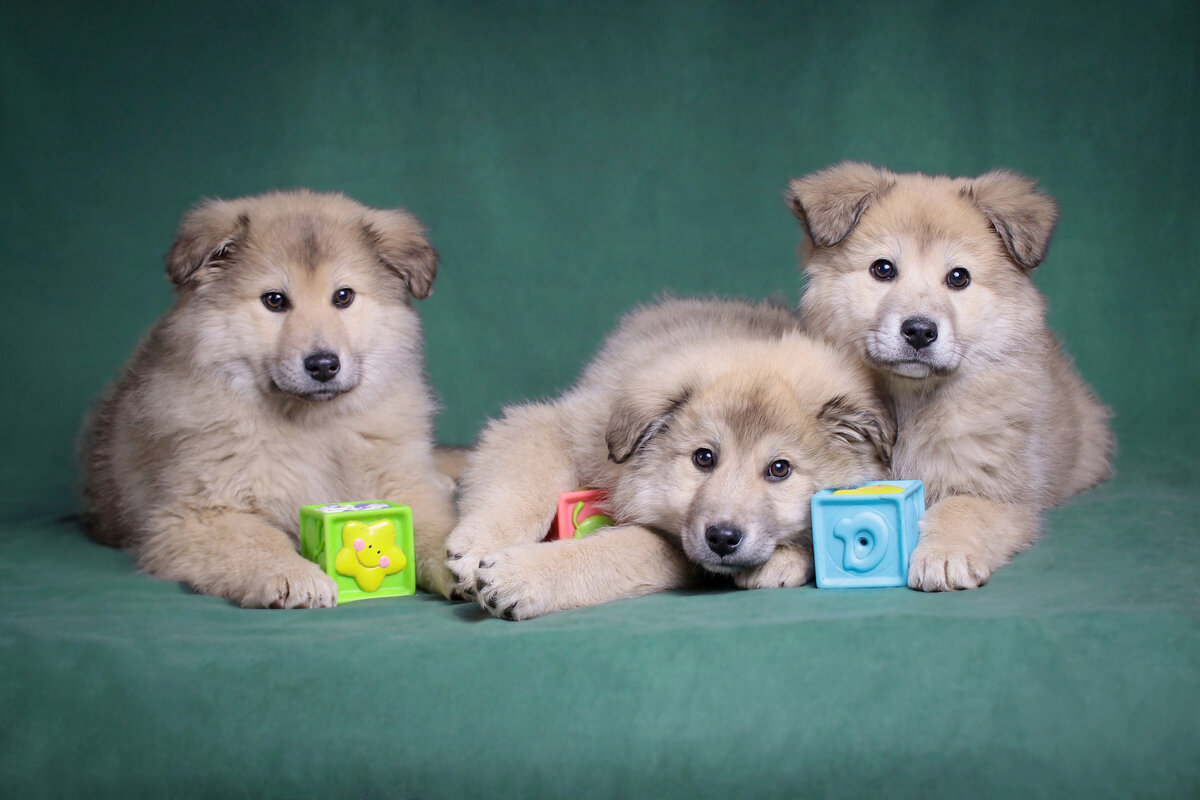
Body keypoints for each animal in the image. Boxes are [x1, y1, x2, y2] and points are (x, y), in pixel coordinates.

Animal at [83, 191, 458, 606]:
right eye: (274, 300)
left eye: (343, 296)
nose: (323, 365)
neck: (312, 424)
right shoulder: (194, 516)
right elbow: (259, 540)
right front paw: (294, 573)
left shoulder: (405, 489)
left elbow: (438, 528)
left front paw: (470, 564)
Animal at [441, 298, 892, 618]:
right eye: (703, 458)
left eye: (779, 469)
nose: (723, 538)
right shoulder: (556, 427)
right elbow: (523, 484)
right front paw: (481, 542)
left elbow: (615, 552)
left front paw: (522, 575)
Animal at [787, 163, 1113, 592]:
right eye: (882, 269)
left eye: (959, 277)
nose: (920, 331)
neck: (909, 403)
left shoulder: (997, 494)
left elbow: (961, 508)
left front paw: (944, 555)